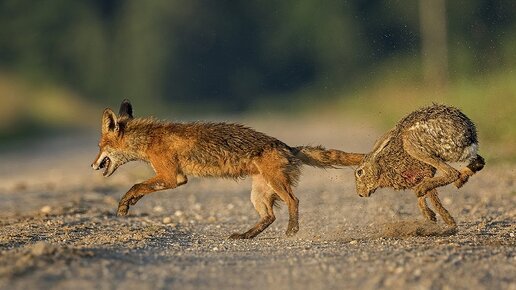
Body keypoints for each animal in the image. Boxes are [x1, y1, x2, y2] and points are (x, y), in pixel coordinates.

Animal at [92, 99, 364, 238]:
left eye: (99, 146)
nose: (92, 164)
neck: (149, 140)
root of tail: (287, 146)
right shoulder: (170, 177)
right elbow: (141, 187)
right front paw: (129, 203)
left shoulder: (172, 177)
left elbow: (137, 185)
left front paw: (125, 204)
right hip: (258, 194)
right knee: (270, 216)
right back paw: (245, 235)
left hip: (277, 185)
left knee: (293, 201)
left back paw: (291, 230)